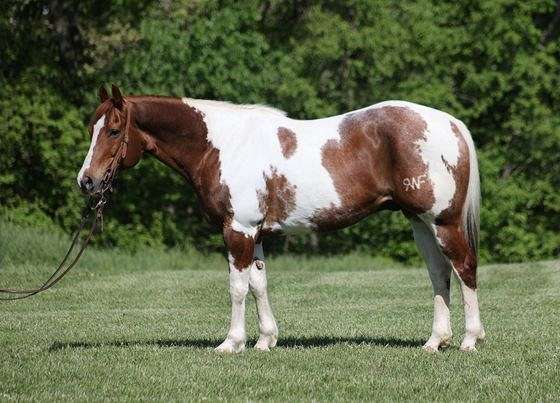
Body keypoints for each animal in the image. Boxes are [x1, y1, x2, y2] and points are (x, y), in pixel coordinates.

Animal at [76, 85, 484, 354]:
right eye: (91, 129)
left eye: (114, 130)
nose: (87, 181)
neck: (221, 146)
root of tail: (451, 123)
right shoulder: (254, 232)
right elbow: (259, 284)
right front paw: (265, 340)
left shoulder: (237, 230)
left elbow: (237, 288)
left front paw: (232, 343)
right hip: (420, 223)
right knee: (439, 274)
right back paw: (435, 341)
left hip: (443, 222)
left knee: (464, 268)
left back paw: (469, 340)